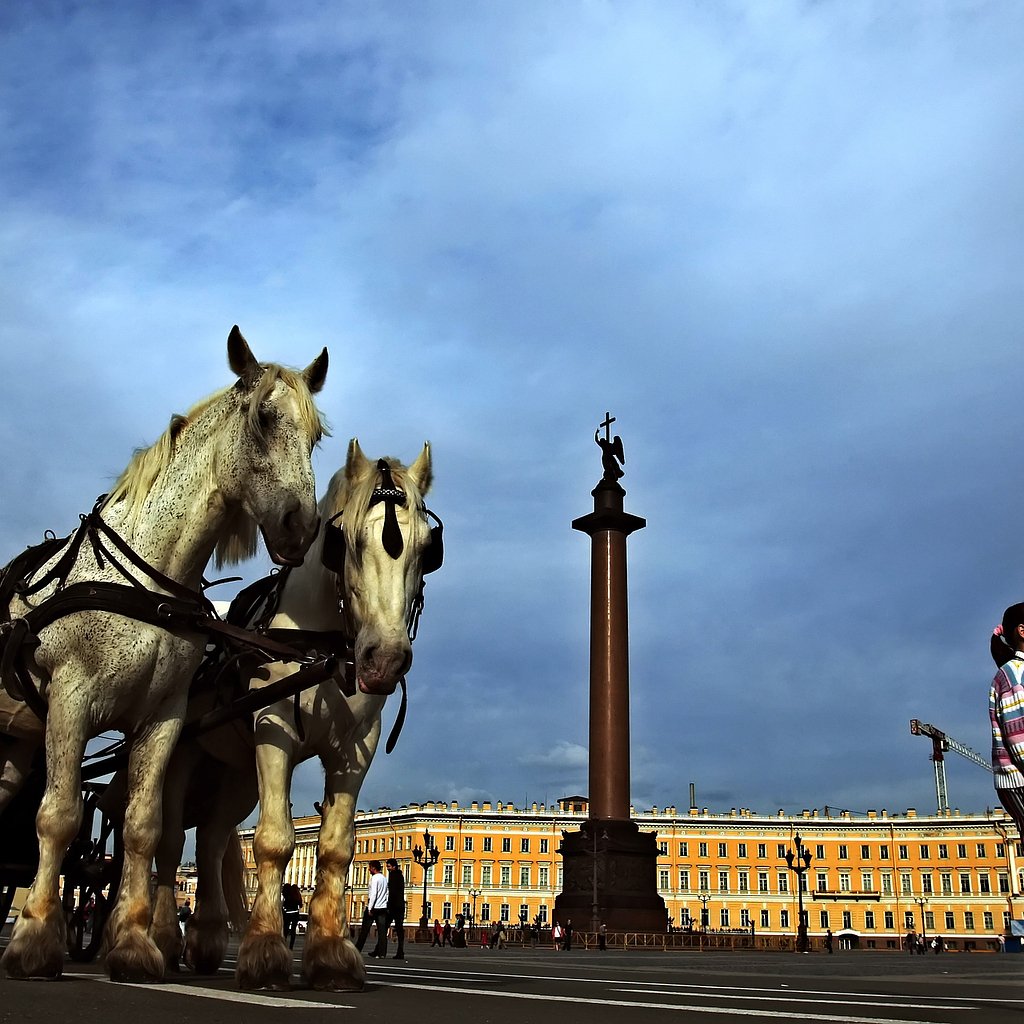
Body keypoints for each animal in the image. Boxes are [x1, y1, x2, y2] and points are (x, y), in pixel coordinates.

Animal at [0, 329, 327, 983]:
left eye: (316, 435)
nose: (300, 527)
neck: (149, 580)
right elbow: (60, 815)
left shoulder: (163, 716)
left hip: (20, 741)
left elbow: (145, 829)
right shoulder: (70, 700)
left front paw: (131, 945)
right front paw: (35, 940)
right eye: (263, 417)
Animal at [149, 436, 438, 987]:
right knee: (170, 842)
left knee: (212, 840)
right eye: (346, 541)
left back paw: (204, 940)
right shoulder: (273, 730)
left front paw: (331, 955)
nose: (385, 658)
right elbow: (274, 840)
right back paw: (158, 940)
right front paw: (264, 952)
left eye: (426, 549)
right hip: (181, 754)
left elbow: (336, 847)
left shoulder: (357, 747)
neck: (320, 647)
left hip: (236, 773)